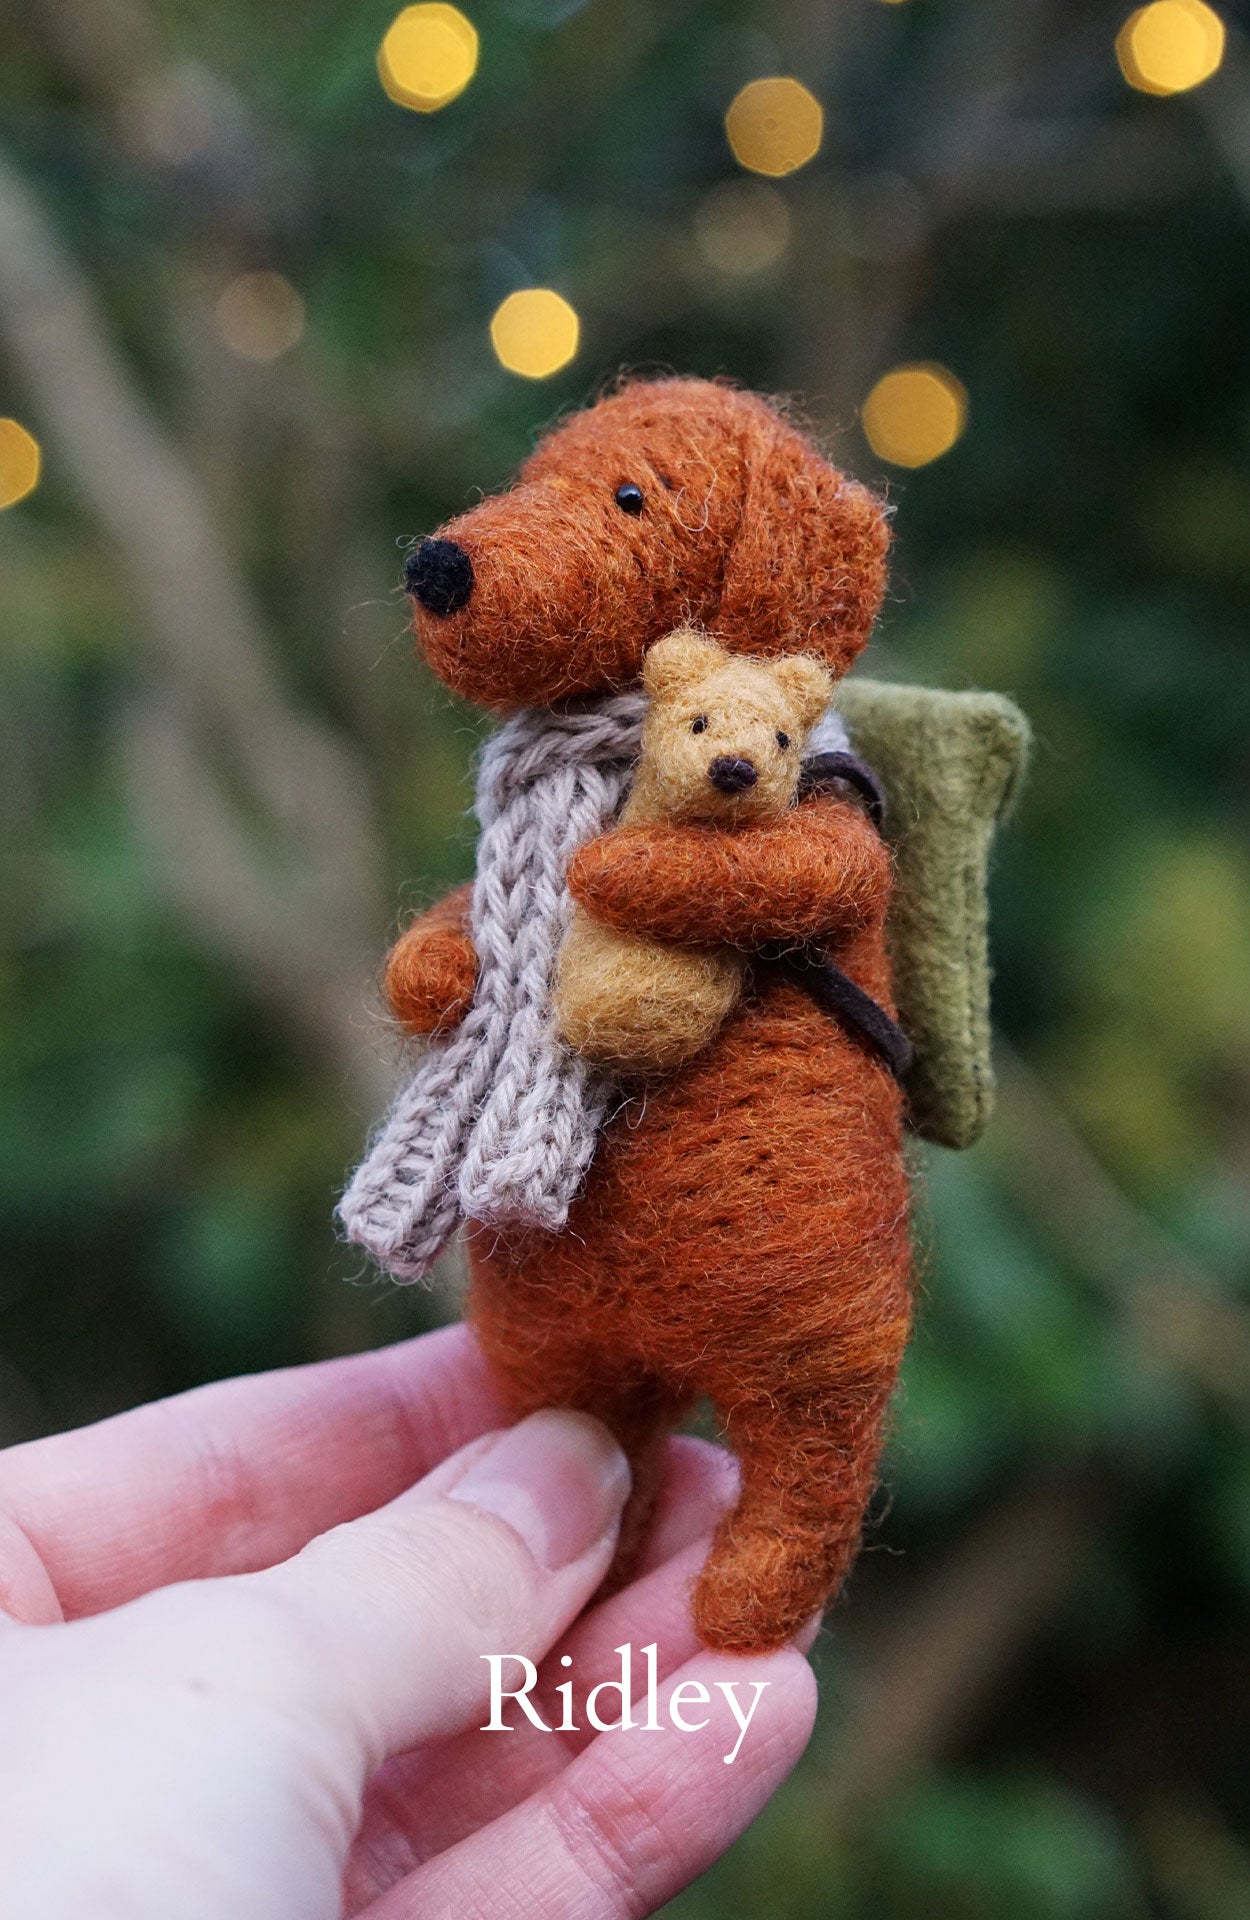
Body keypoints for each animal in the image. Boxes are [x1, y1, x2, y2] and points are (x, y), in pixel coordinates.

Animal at [345, 374, 1029, 1651]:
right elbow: (460, 929)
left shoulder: (834, 831)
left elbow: (782, 868)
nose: (437, 566)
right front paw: (433, 976)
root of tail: (664, 1340)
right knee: (601, 1429)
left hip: (822, 1341)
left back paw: (745, 1597)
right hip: (554, 1351)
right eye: (530, 477)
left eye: (631, 496)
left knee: (813, 1461)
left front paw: (613, 872)